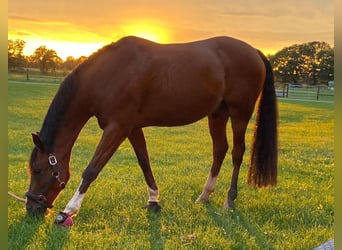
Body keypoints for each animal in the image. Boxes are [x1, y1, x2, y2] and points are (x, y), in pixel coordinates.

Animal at [26, 35, 278, 223]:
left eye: (37, 170)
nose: (30, 209)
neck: (110, 73)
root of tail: (254, 51)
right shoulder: (132, 128)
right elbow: (144, 162)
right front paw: (154, 201)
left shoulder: (117, 128)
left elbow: (92, 169)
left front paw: (68, 211)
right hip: (217, 114)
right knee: (220, 150)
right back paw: (204, 196)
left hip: (239, 114)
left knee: (237, 152)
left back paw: (230, 200)